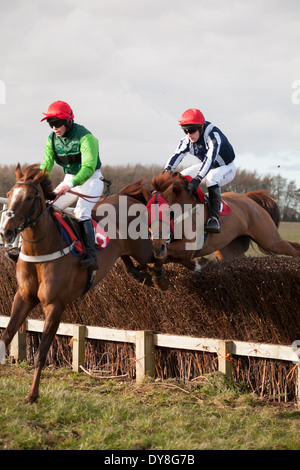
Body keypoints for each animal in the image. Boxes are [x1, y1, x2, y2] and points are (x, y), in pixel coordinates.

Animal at [0, 163, 155, 402]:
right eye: (9, 194)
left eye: (28, 197)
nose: (6, 231)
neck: (41, 249)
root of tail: (125, 195)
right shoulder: (23, 297)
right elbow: (6, 336)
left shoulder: (55, 305)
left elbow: (42, 351)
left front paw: (33, 395)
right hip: (126, 251)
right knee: (131, 260)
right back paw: (141, 275)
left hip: (143, 248)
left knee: (162, 254)